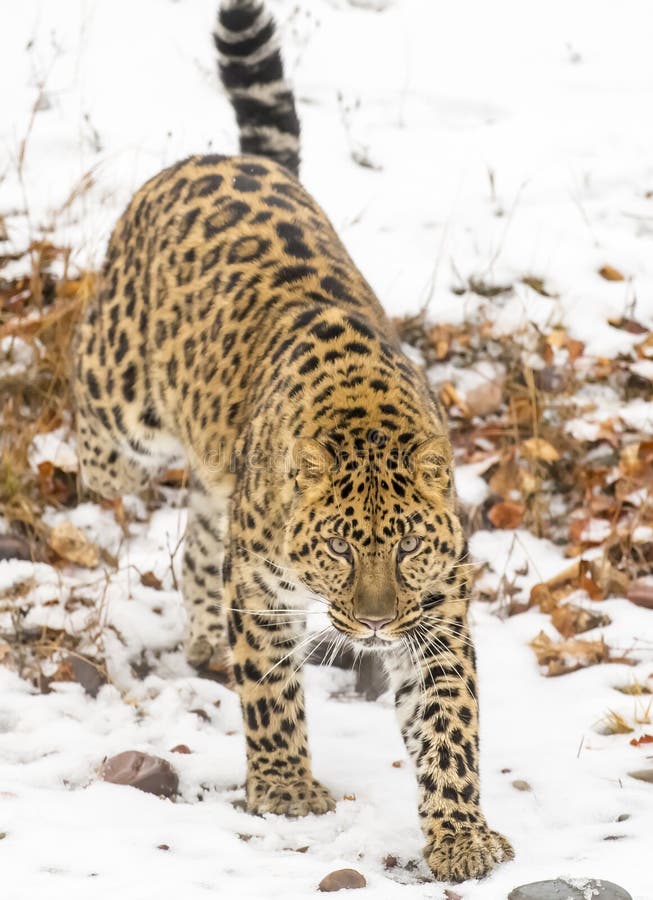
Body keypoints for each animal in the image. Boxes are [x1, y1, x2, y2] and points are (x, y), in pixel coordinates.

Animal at [73, 0, 513, 882]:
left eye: (408, 548)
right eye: (340, 548)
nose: (374, 626)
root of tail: (221, 158)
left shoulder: (437, 613)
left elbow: (448, 725)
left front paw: (460, 836)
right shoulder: (264, 594)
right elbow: (271, 692)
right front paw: (284, 789)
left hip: (220, 482)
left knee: (200, 541)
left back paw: (203, 636)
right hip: (122, 399)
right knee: (88, 407)